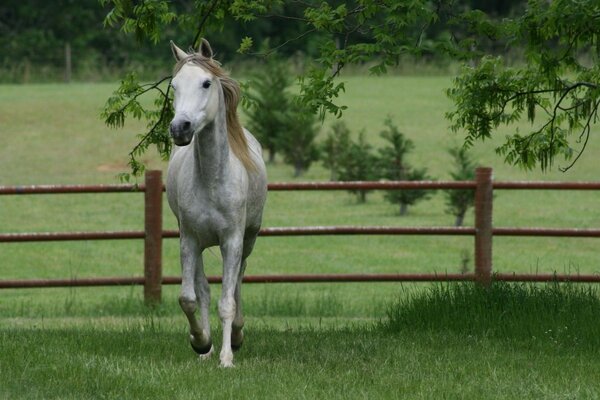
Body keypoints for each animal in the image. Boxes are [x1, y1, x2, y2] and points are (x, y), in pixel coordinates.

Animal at [165, 39, 266, 368]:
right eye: (174, 85)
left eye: (206, 83)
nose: (180, 128)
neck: (211, 180)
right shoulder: (189, 240)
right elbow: (190, 297)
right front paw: (201, 343)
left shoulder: (231, 241)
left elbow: (227, 301)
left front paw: (227, 358)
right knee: (204, 290)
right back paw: (207, 349)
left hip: (248, 240)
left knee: (237, 284)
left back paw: (236, 336)